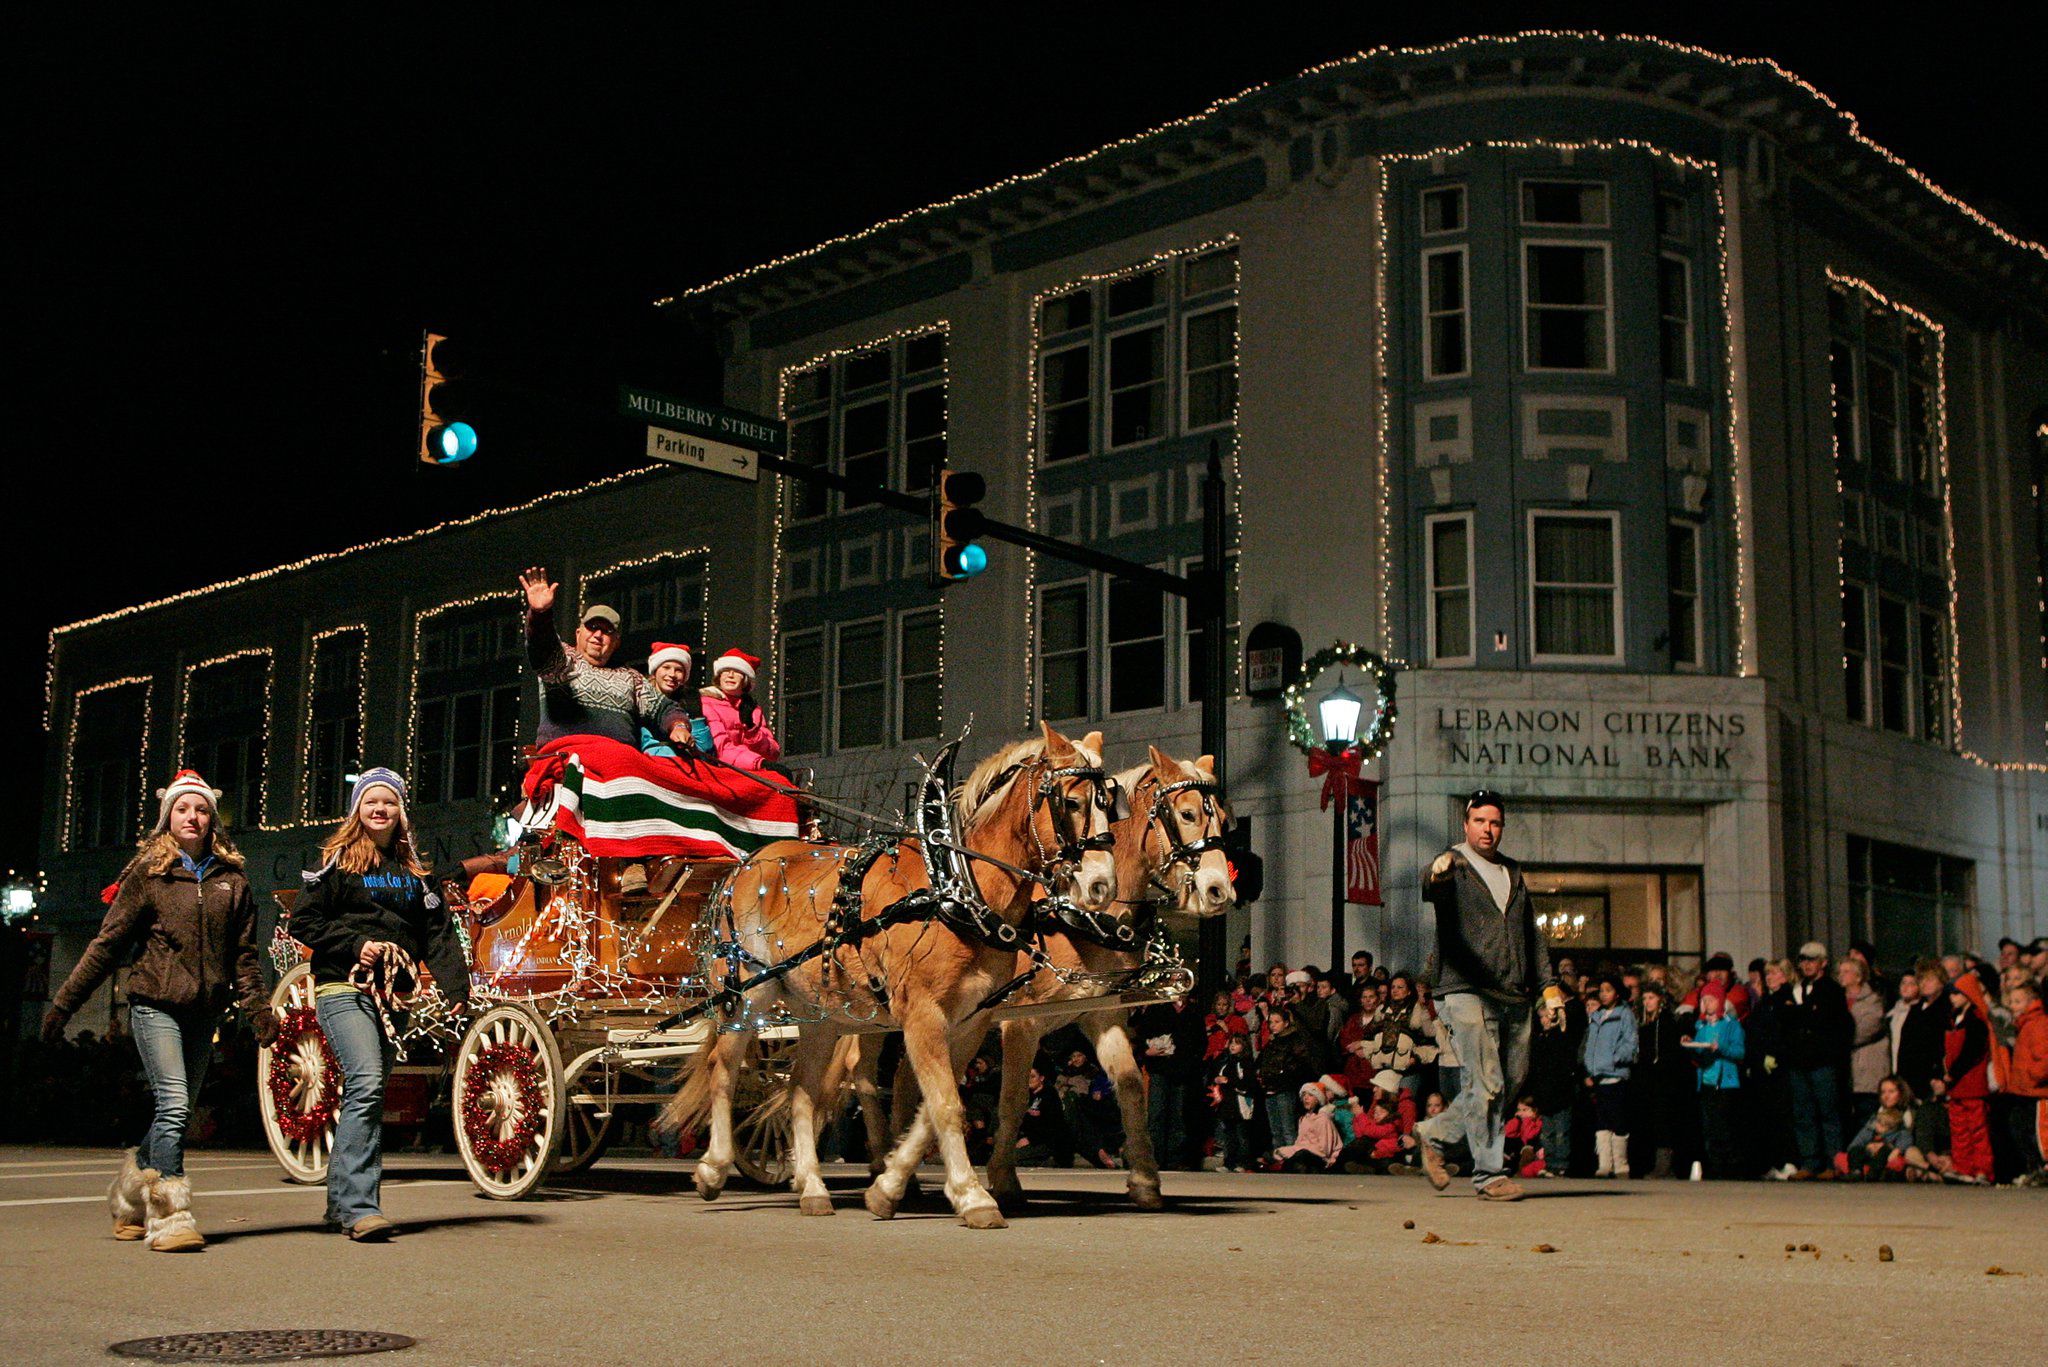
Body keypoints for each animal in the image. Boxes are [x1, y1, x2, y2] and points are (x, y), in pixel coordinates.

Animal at [659, 725, 1114, 1229]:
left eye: (1110, 802)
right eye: (1071, 802)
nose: (1102, 885)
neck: (956, 884)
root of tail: (743, 865)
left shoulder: (971, 1021)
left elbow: (930, 1109)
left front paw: (889, 1186)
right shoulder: (922, 1014)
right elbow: (945, 1104)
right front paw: (972, 1196)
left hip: (820, 1016)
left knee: (800, 1092)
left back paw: (812, 1187)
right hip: (743, 996)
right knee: (723, 1072)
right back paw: (714, 1168)